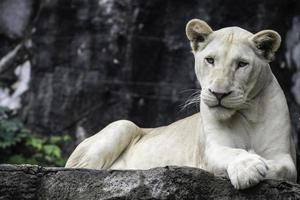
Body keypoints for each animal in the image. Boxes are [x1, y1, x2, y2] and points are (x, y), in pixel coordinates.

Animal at [66, 19, 298, 190]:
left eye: (242, 64)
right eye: (210, 60)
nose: (218, 94)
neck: (246, 114)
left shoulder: (284, 157)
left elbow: (280, 167)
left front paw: (255, 163)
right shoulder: (211, 150)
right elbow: (231, 152)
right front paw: (247, 167)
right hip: (123, 124)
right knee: (81, 169)